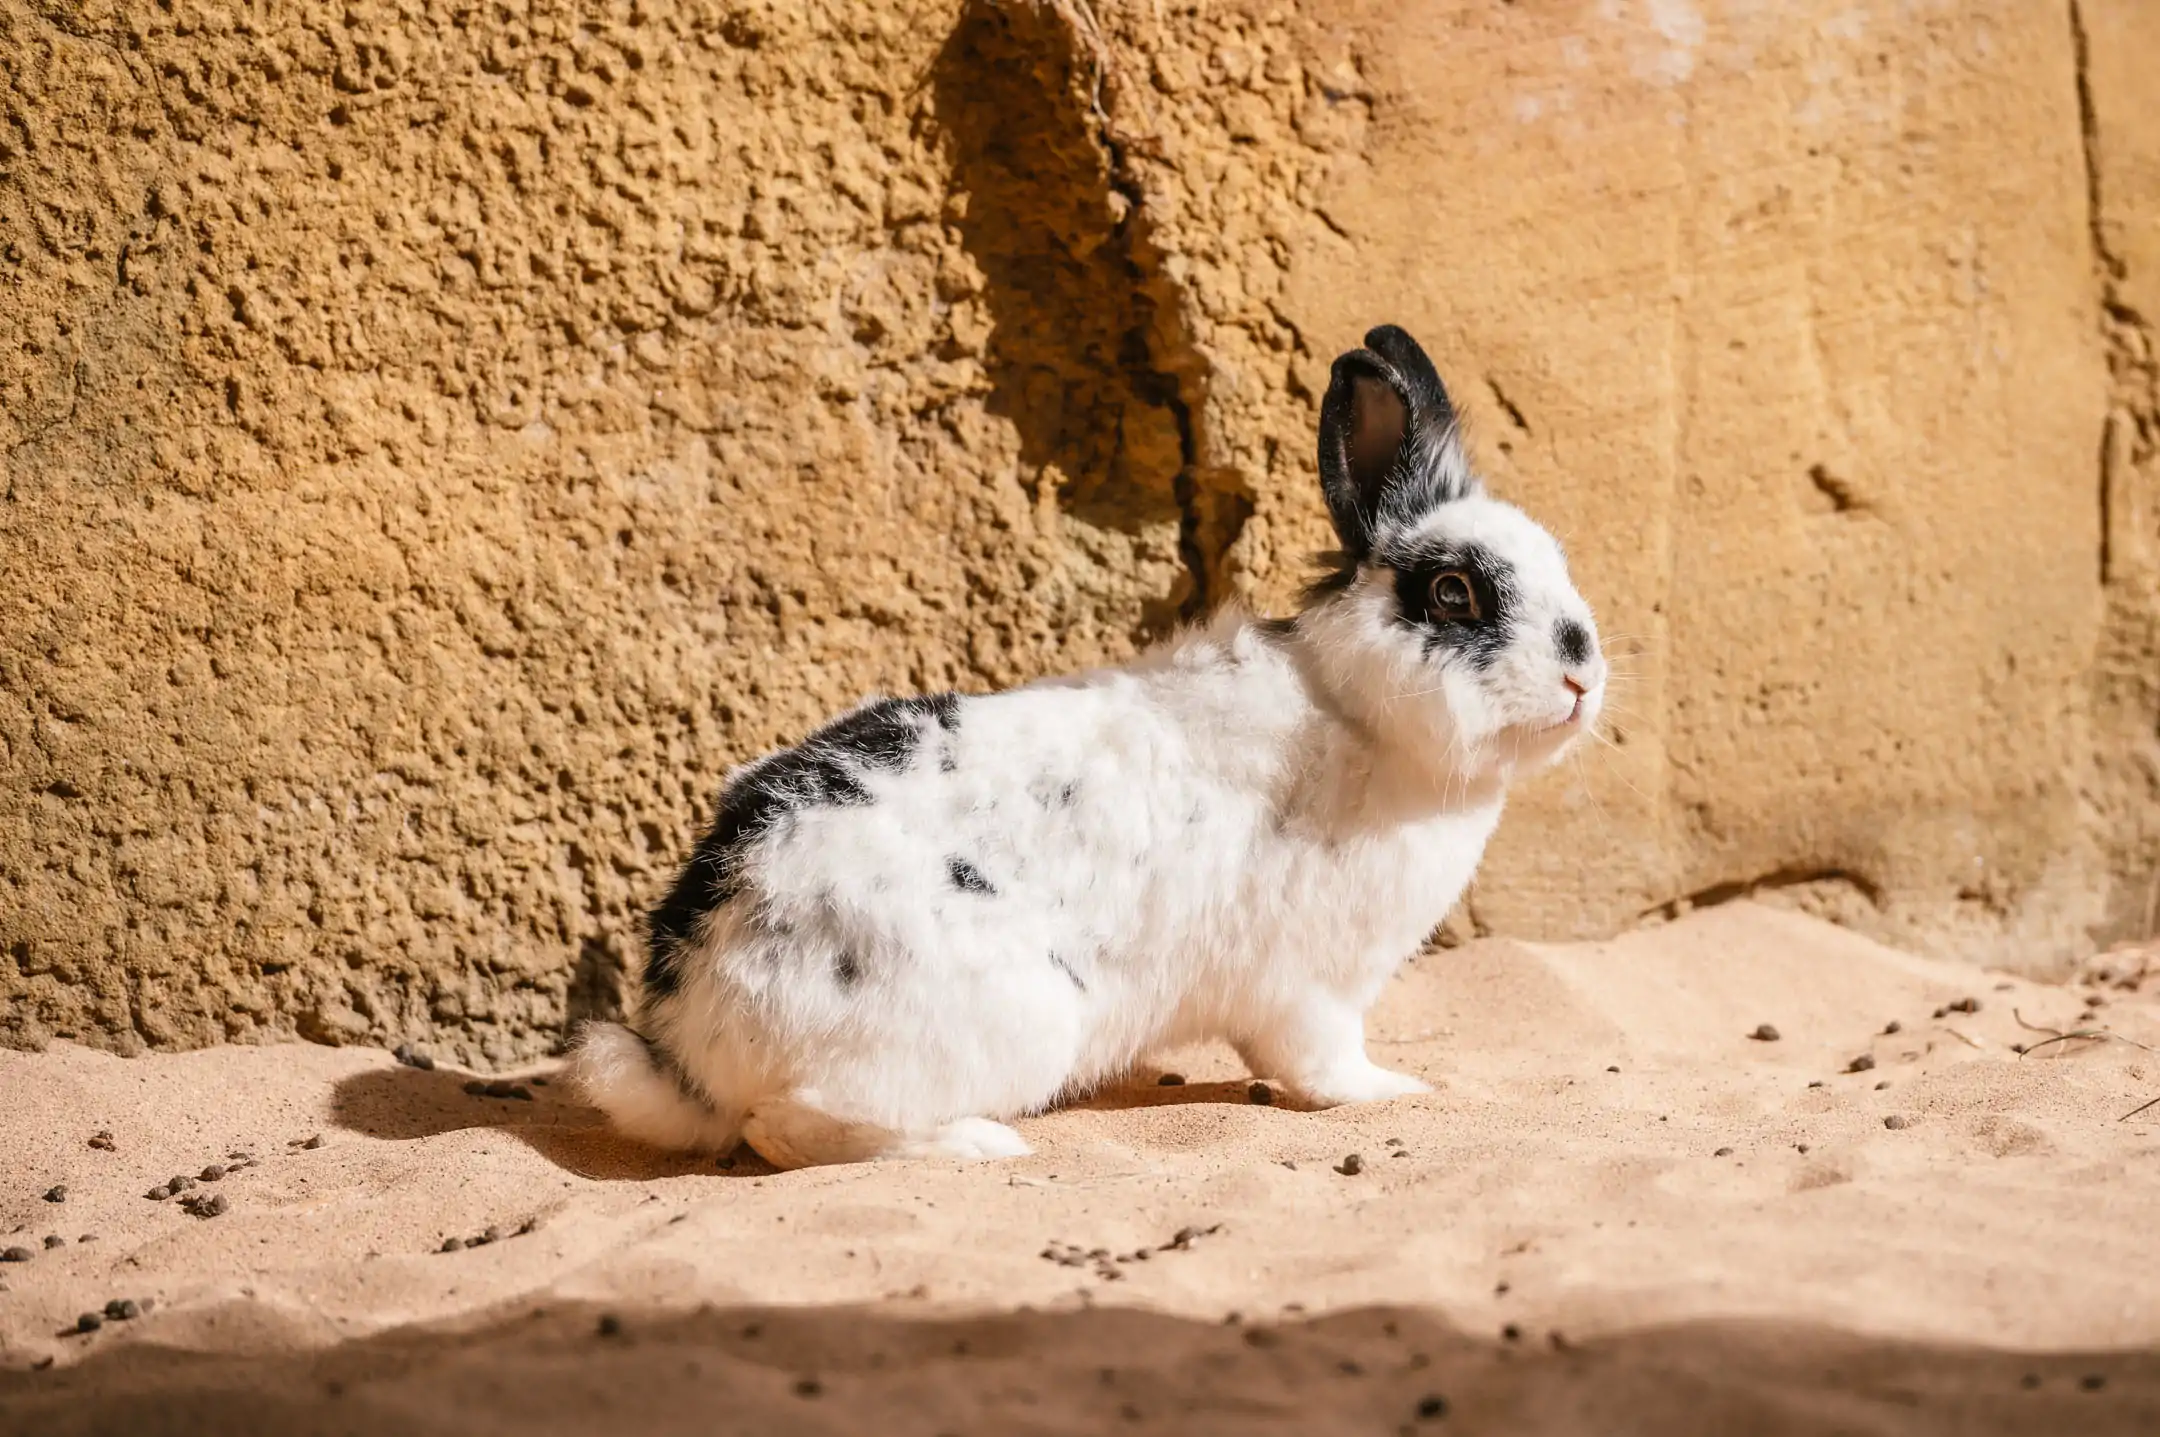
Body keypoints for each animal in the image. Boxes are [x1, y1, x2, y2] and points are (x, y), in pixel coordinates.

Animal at [574, 321, 1607, 1166]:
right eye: (1453, 593)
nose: (1583, 675)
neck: (1361, 717)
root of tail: (689, 1034)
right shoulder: (1307, 988)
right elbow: (1323, 1067)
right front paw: (1394, 1090)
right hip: (1015, 1023)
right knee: (786, 1125)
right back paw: (978, 1143)